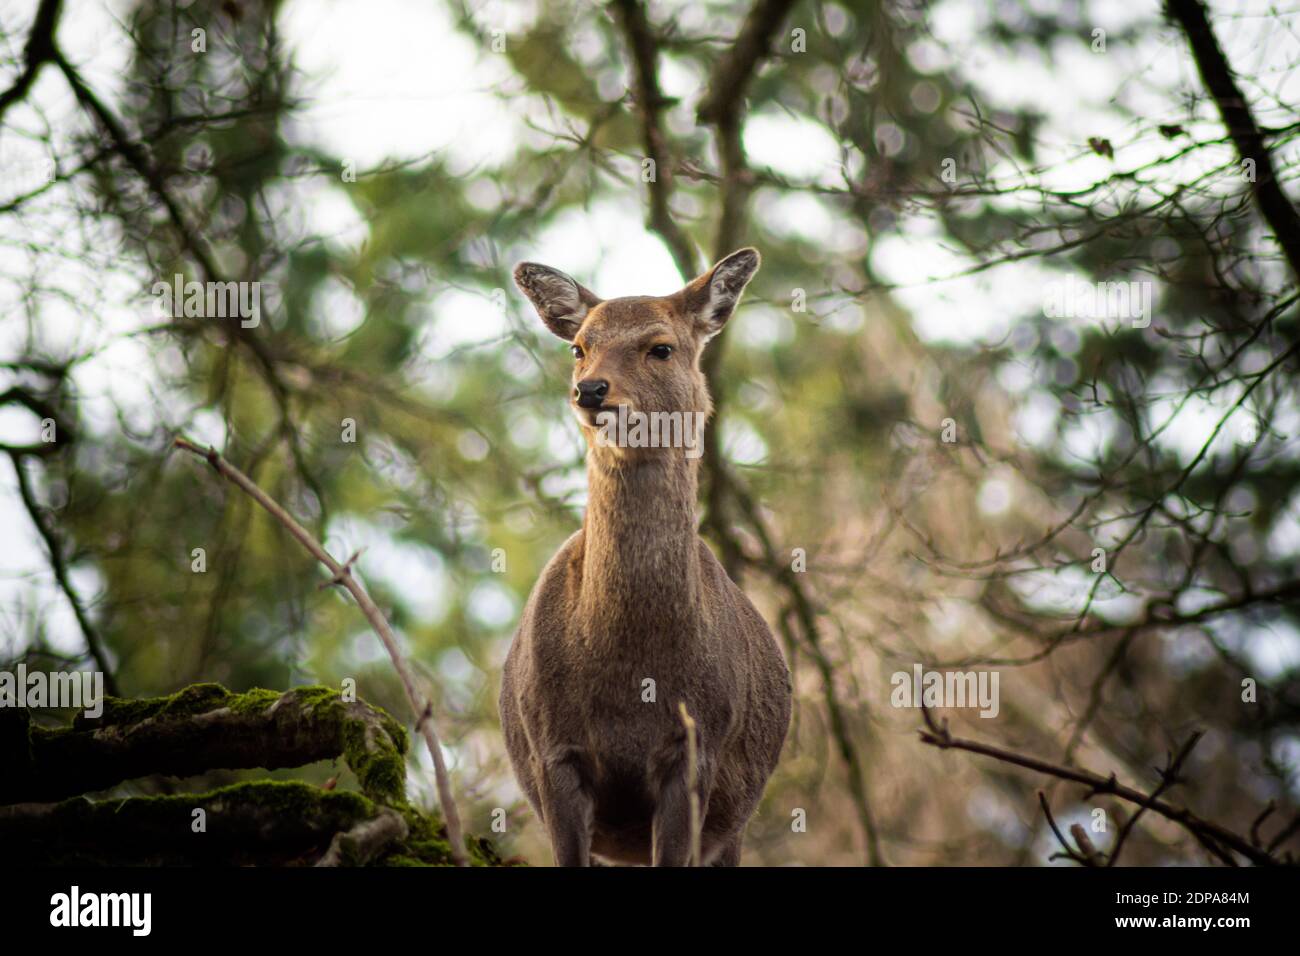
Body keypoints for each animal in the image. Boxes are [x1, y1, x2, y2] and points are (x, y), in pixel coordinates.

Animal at [499, 247, 793, 866]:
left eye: (661, 347)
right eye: (578, 346)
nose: (590, 390)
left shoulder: (697, 746)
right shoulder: (551, 746)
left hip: (734, 822)